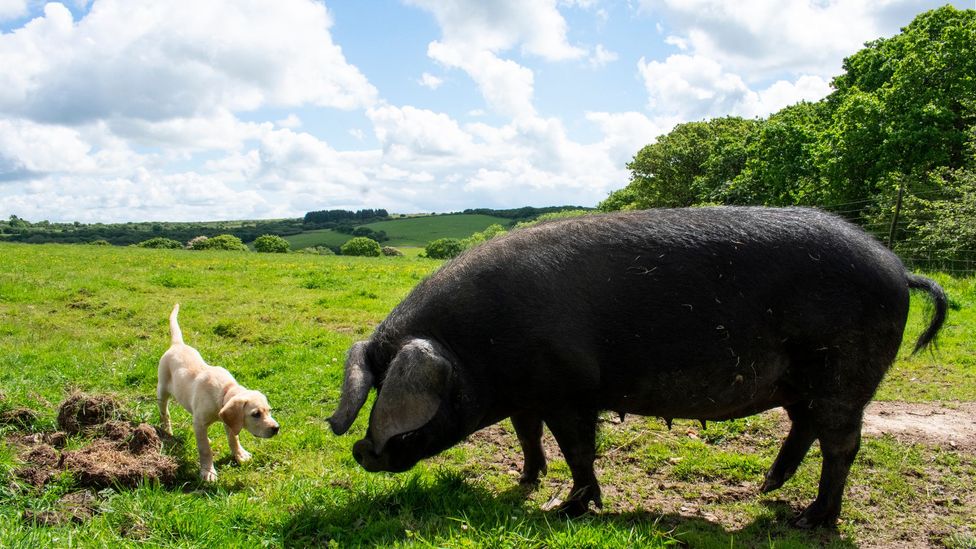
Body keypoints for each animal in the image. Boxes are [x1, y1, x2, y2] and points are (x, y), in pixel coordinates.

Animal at [156, 304, 278, 480]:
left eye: (269, 411)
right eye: (256, 414)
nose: (276, 428)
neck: (225, 390)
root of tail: (177, 344)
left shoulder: (230, 420)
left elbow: (233, 438)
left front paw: (240, 455)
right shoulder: (199, 423)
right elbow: (205, 449)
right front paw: (208, 471)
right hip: (162, 390)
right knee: (165, 414)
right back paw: (167, 431)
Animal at [330, 206, 944, 528]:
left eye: (393, 398)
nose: (361, 452)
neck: (475, 349)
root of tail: (898, 269)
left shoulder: (569, 392)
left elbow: (577, 448)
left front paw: (567, 507)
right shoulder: (529, 395)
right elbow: (527, 436)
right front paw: (524, 481)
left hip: (845, 375)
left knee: (842, 443)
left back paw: (809, 520)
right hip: (802, 383)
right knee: (804, 426)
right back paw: (766, 490)